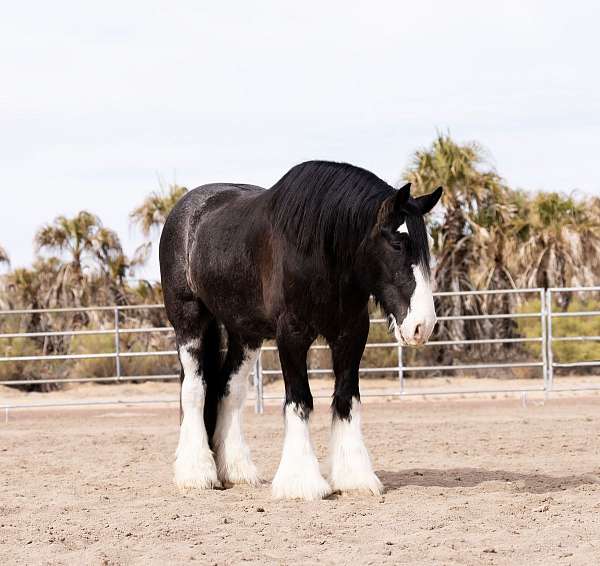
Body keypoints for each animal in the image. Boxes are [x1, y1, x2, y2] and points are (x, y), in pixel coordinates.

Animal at [158, 160, 440, 502]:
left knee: (229, 389)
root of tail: (186, 211)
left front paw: (354, 477)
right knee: (194, 389)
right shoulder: (291, 334)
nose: (422, 325)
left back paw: (236, 470)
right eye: (397, 243)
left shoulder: (351, 334)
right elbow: (300, 399)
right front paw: (302, 482)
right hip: (189, 321)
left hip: (245, 333)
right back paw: (197, 473)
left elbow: (347, 398)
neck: (319, 250)